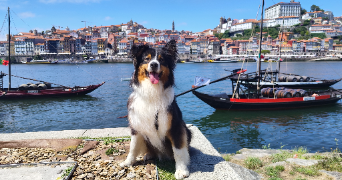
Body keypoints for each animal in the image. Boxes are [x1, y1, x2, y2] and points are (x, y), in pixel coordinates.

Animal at [119, 40, 190, 179]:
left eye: (161, 60)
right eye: (147, 59)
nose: (153, 64)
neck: (152, 92)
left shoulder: (176, 126)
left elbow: (178, 151)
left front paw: (181, 171)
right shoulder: (136, 127)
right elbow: (133, 147)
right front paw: (128, 162)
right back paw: (149, 155)